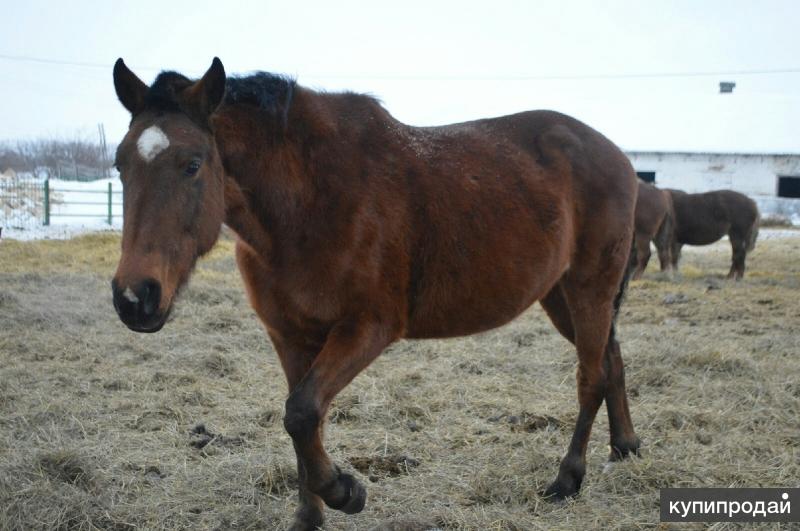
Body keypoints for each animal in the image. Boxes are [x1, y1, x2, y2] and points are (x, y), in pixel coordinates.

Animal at [110, 57, 640, 530]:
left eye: (193, 164)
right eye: (120, 164)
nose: (134, 297)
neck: (310, 203)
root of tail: (619, 157)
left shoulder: (367, 328)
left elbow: (301, 413)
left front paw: (345, 492)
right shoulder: (290, 338)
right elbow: (304, 421)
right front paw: (310, 515)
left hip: (589, 288)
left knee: (591, 376)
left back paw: (568, 479)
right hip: (560, 296)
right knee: (612, 359)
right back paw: (626, 447)